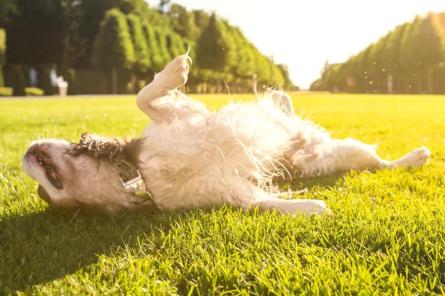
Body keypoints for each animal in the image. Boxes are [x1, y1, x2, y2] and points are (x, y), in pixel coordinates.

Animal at [21, 53, 430, 215]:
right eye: (47, 194)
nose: (24, 154)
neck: (146, 174)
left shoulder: (181, 116)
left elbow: (144, 96)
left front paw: (175, 70)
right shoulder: (231, 190)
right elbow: (264, 203)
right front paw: (311, 207)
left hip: (344, 146)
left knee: (384, 162)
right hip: (345, 154)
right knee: (381, 165)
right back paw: (416, 157)